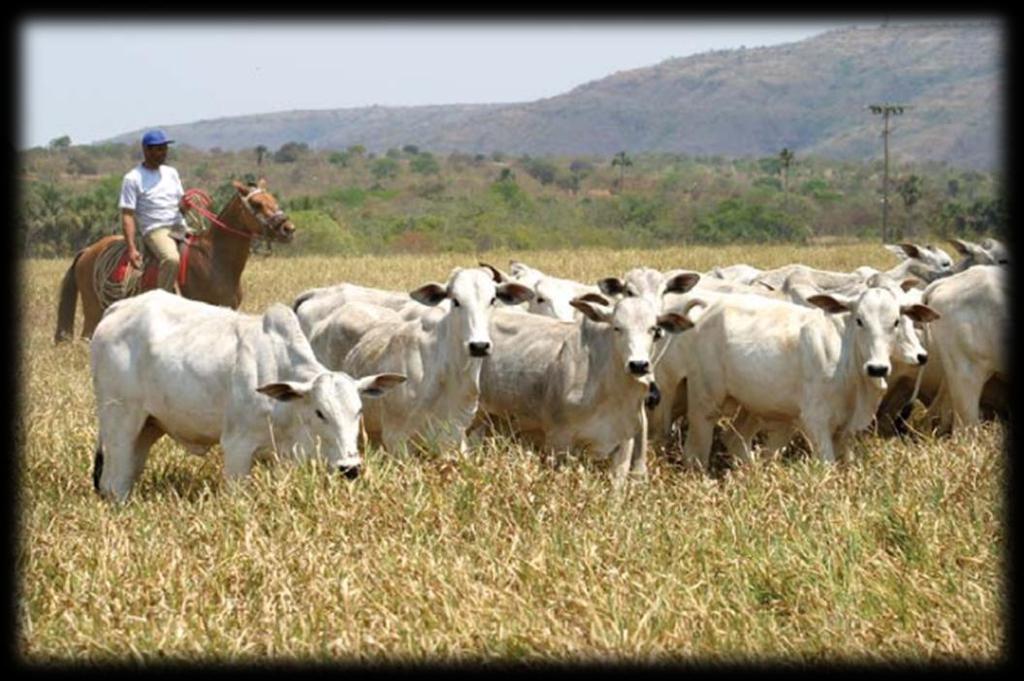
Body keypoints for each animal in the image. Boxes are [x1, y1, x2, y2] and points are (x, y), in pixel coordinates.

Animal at [54, 178, 294, 342]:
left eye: (273, 200)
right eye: (257, 204)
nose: (288, 228)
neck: (214, 261)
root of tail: (87, 251)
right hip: (92, 309)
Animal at [89, 288, 407, 501]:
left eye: (358, 410)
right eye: (320, 412)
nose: (350, 468)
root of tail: (117, 309)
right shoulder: (237, 448)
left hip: (148, 427)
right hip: (120, 422)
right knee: (112, 483)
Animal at [675, 284, 937, 471]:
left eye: (895, 322)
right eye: (859, 320)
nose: (877, 368)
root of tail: (712, 304)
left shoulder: (846, 430)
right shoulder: (816, 421)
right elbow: (828, 465)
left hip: (755, 405)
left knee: (735, 439)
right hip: (705, 399)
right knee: (695, 450)